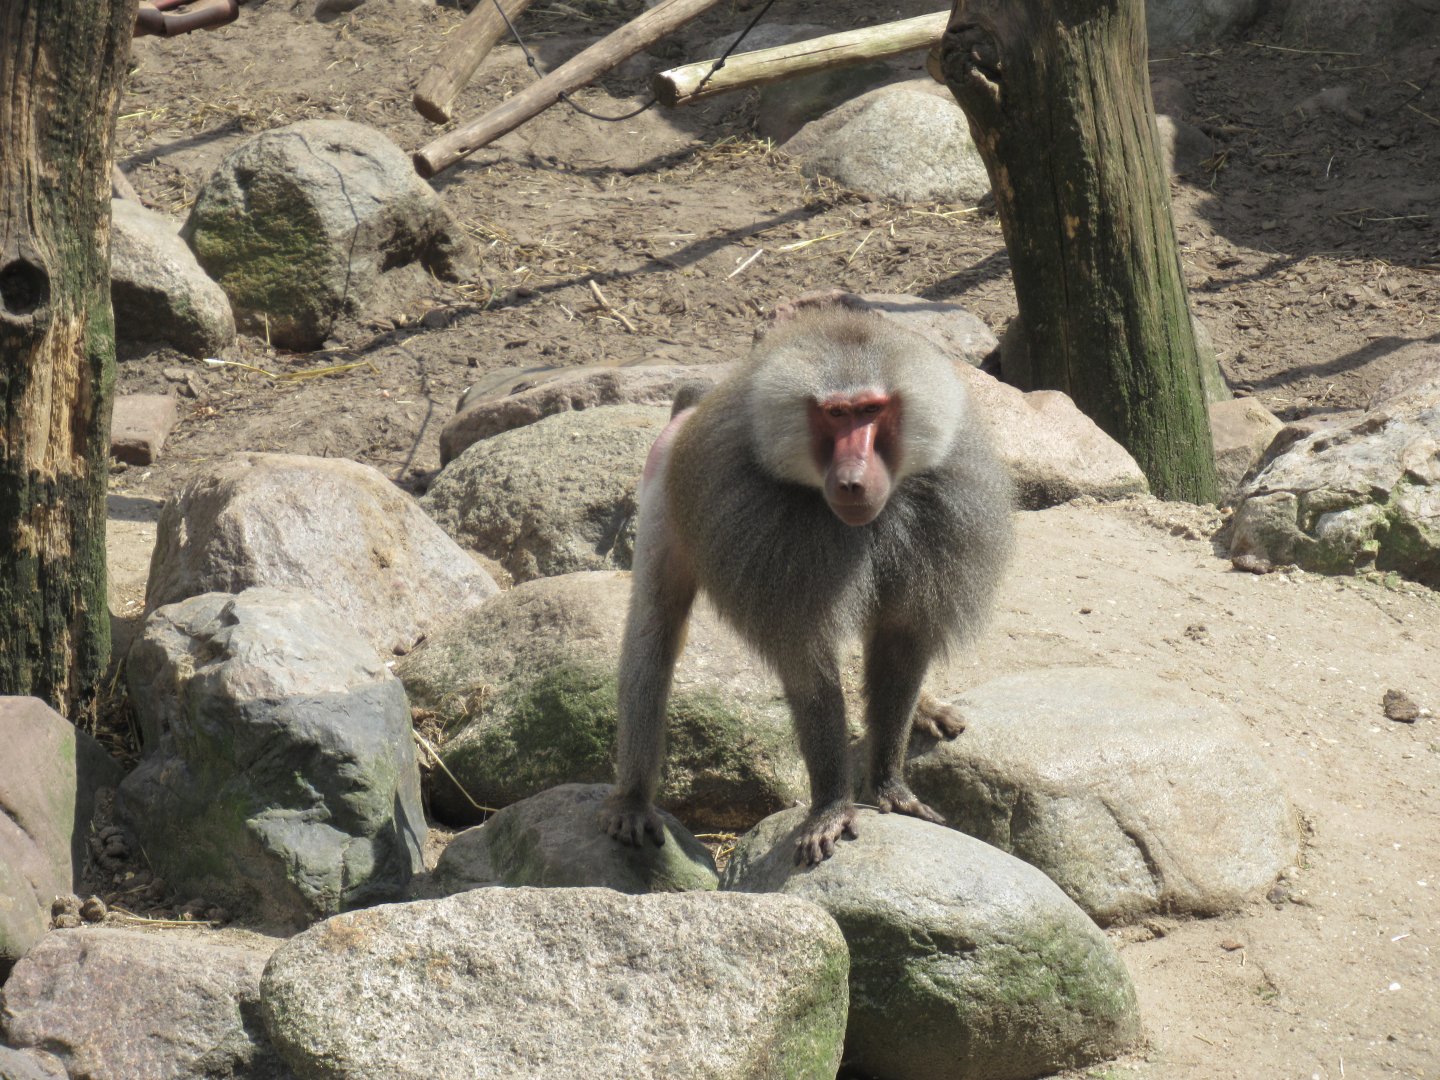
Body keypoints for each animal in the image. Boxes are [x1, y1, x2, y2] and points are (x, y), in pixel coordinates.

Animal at [600, 291, 1013, 865]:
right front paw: (832, 810)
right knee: (654, 631)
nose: (853, 481)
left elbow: (901, 639)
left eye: (872, 410)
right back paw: (634, 801)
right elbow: (807, 664)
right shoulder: (770, 543)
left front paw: (889, 784)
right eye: (835, 414)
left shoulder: (940, 509)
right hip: (664, 484)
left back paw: (924, 709)